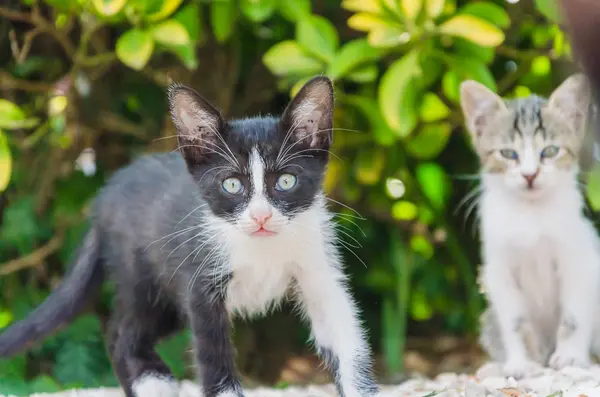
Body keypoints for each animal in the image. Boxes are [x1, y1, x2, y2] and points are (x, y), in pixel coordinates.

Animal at [0, 76, 380, 396]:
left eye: (286, 181)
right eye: (232, 185)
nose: (261, 216)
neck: (261, 250)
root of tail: (103, 199)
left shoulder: (318, 267)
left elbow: (345, 336)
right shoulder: (200, 285)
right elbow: (213, 356)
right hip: (144, 273)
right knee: (124, 334)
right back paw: (153, 384)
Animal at [462, 73, 600, 378]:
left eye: (549, 151)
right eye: (507, 154)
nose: (529, 175)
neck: (531, 214)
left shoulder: (580, 260)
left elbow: (573, 317)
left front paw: (570, 356)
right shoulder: (498, 271)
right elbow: (515, 321)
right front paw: (522, 362)